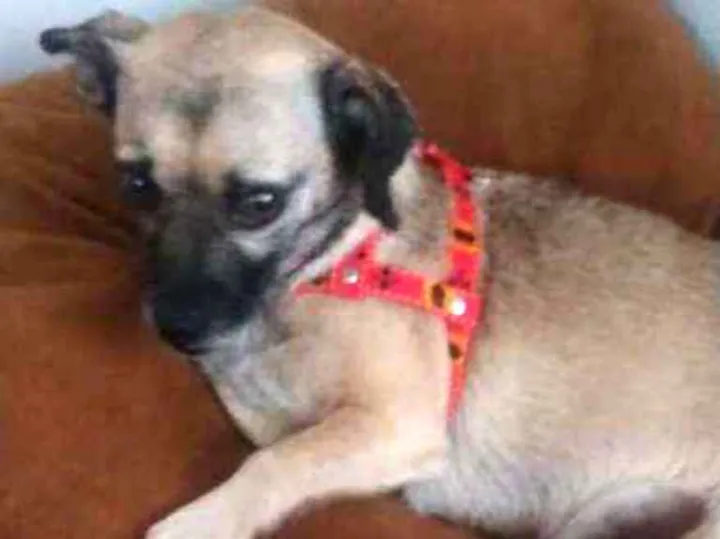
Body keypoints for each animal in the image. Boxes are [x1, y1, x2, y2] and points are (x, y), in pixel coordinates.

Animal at [39, 5, 719, 539]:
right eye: (136, 186)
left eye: (260, 203)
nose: (177, 326)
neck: (332, 265)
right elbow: (269, 425)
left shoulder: (395, 426)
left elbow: (279, 459)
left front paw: (203, 521)